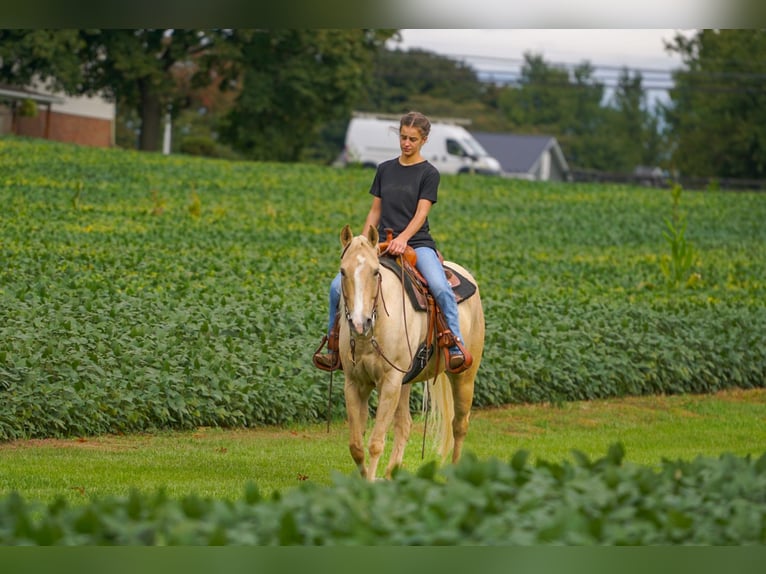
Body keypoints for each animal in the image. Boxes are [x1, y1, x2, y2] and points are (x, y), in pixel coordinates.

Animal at [336, 224, 485, 480]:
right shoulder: (355, 383)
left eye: (375, 272)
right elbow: (356, 445)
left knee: (459, 425)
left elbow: (375, 443)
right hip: (406, 382)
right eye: (343, 272)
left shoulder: (390, 382)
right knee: (404, 425)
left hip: (464, 377)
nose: (359, 323)